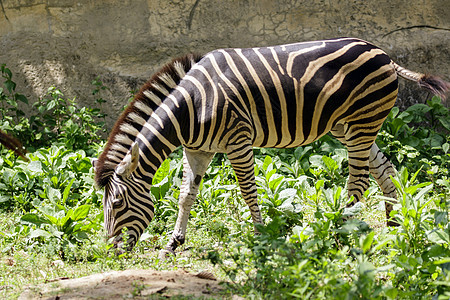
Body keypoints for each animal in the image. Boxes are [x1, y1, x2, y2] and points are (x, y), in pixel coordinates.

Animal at [92, 36, 450, 254]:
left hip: (362, 123)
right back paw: (394, 227)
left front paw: (262, 237)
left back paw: (340, 231)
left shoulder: (238, 141)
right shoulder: (197, 150)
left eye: (118, 205)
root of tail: (383, 53)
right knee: (384, 169)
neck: (192, 107)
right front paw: (173, 243)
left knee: (360, 179)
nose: (111, 254)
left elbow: (248, 192)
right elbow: (185, 196)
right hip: (351, 127)